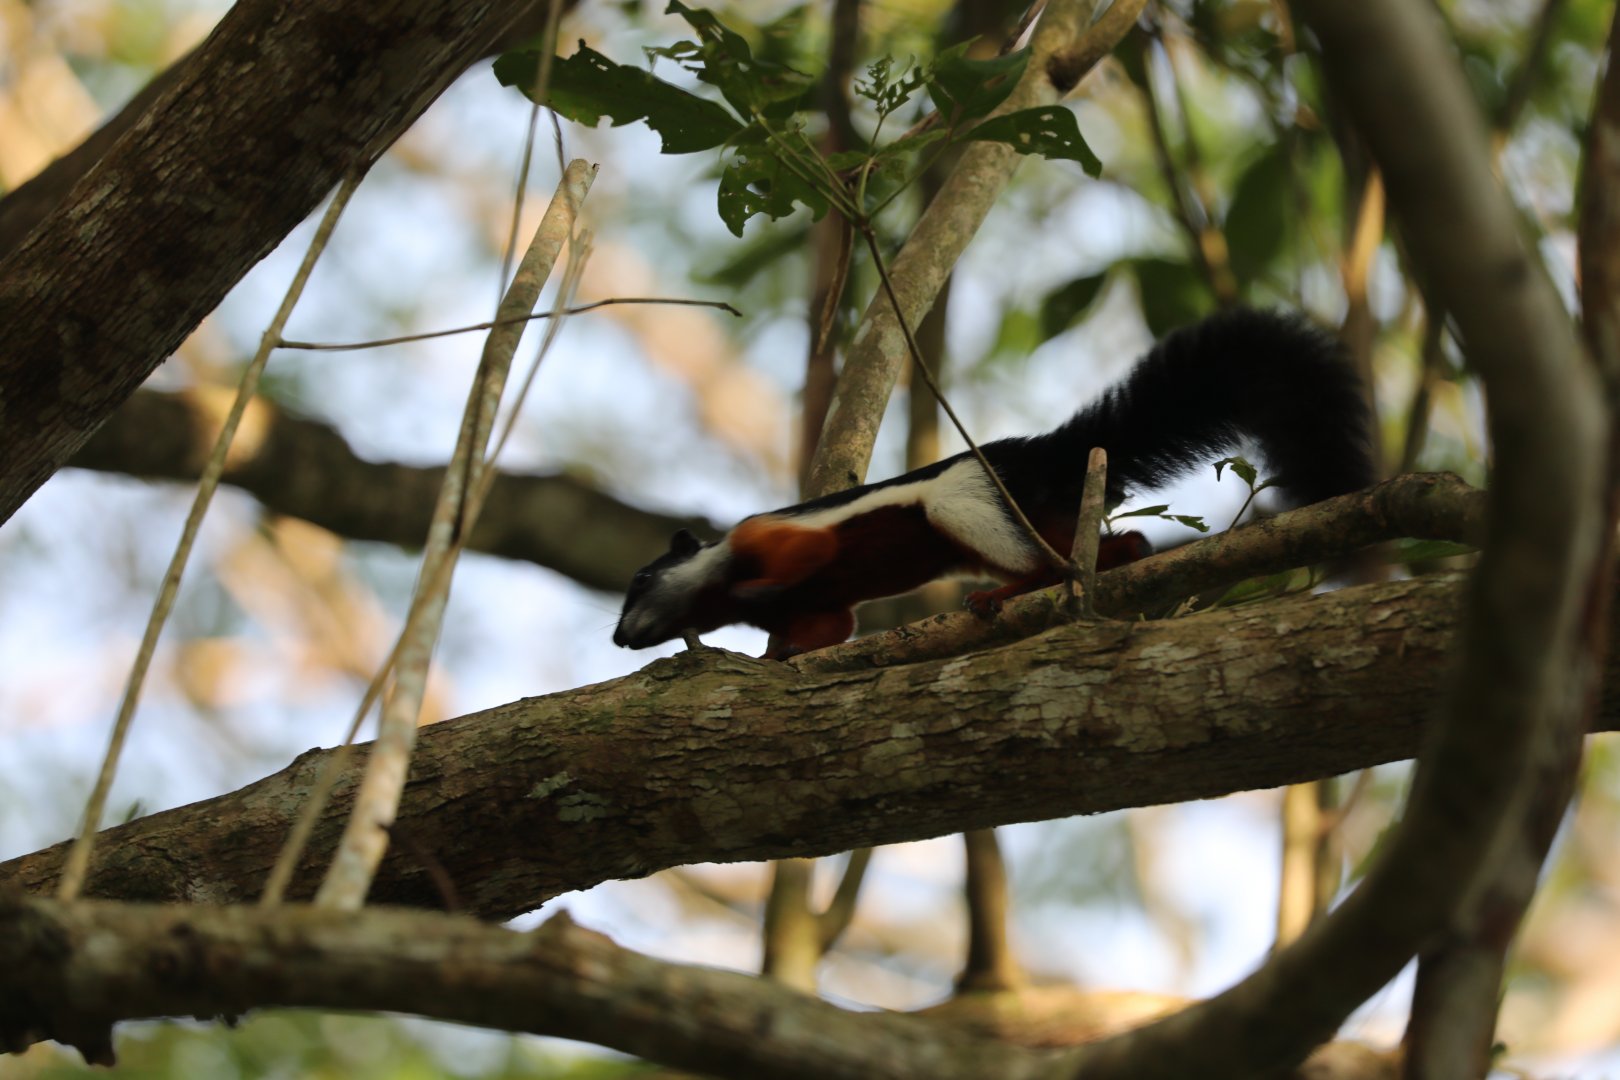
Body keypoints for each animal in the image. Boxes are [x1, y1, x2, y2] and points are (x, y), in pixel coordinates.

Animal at [613, 308, 1375, 657]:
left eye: (642, 580)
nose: (619, 638)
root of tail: (1047, 457)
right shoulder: (826, 608)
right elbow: (834, 626)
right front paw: (780, 653)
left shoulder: (764, 537)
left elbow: (808, 556)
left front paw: (759, 595)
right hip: (1037, 514)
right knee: (1104, 549)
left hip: (967, 507)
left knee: (1044, 561)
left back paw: (1006, 595)